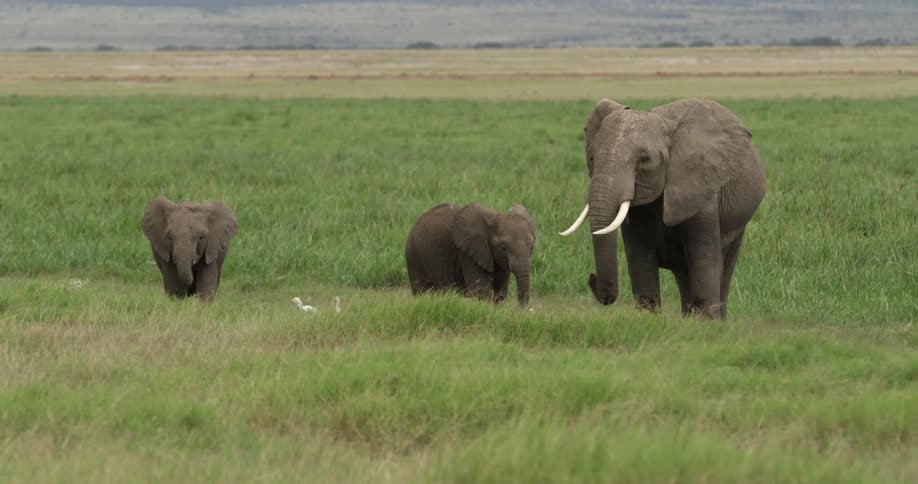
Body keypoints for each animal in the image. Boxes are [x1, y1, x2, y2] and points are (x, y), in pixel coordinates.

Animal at [405, 203, 536, 307]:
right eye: (503, 248)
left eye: (532, 248)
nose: (520, 309)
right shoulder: (468, 254)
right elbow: (483, 292)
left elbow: (500, 291)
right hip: (413, 254)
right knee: (421, 291)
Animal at [559, 98, 766, 319]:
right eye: (592, 158)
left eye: (643, 160)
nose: (591, 276)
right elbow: (640, 259)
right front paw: (648, 316)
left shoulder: (700, 187)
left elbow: (703, 258)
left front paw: (705, 323)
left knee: (724, 267)